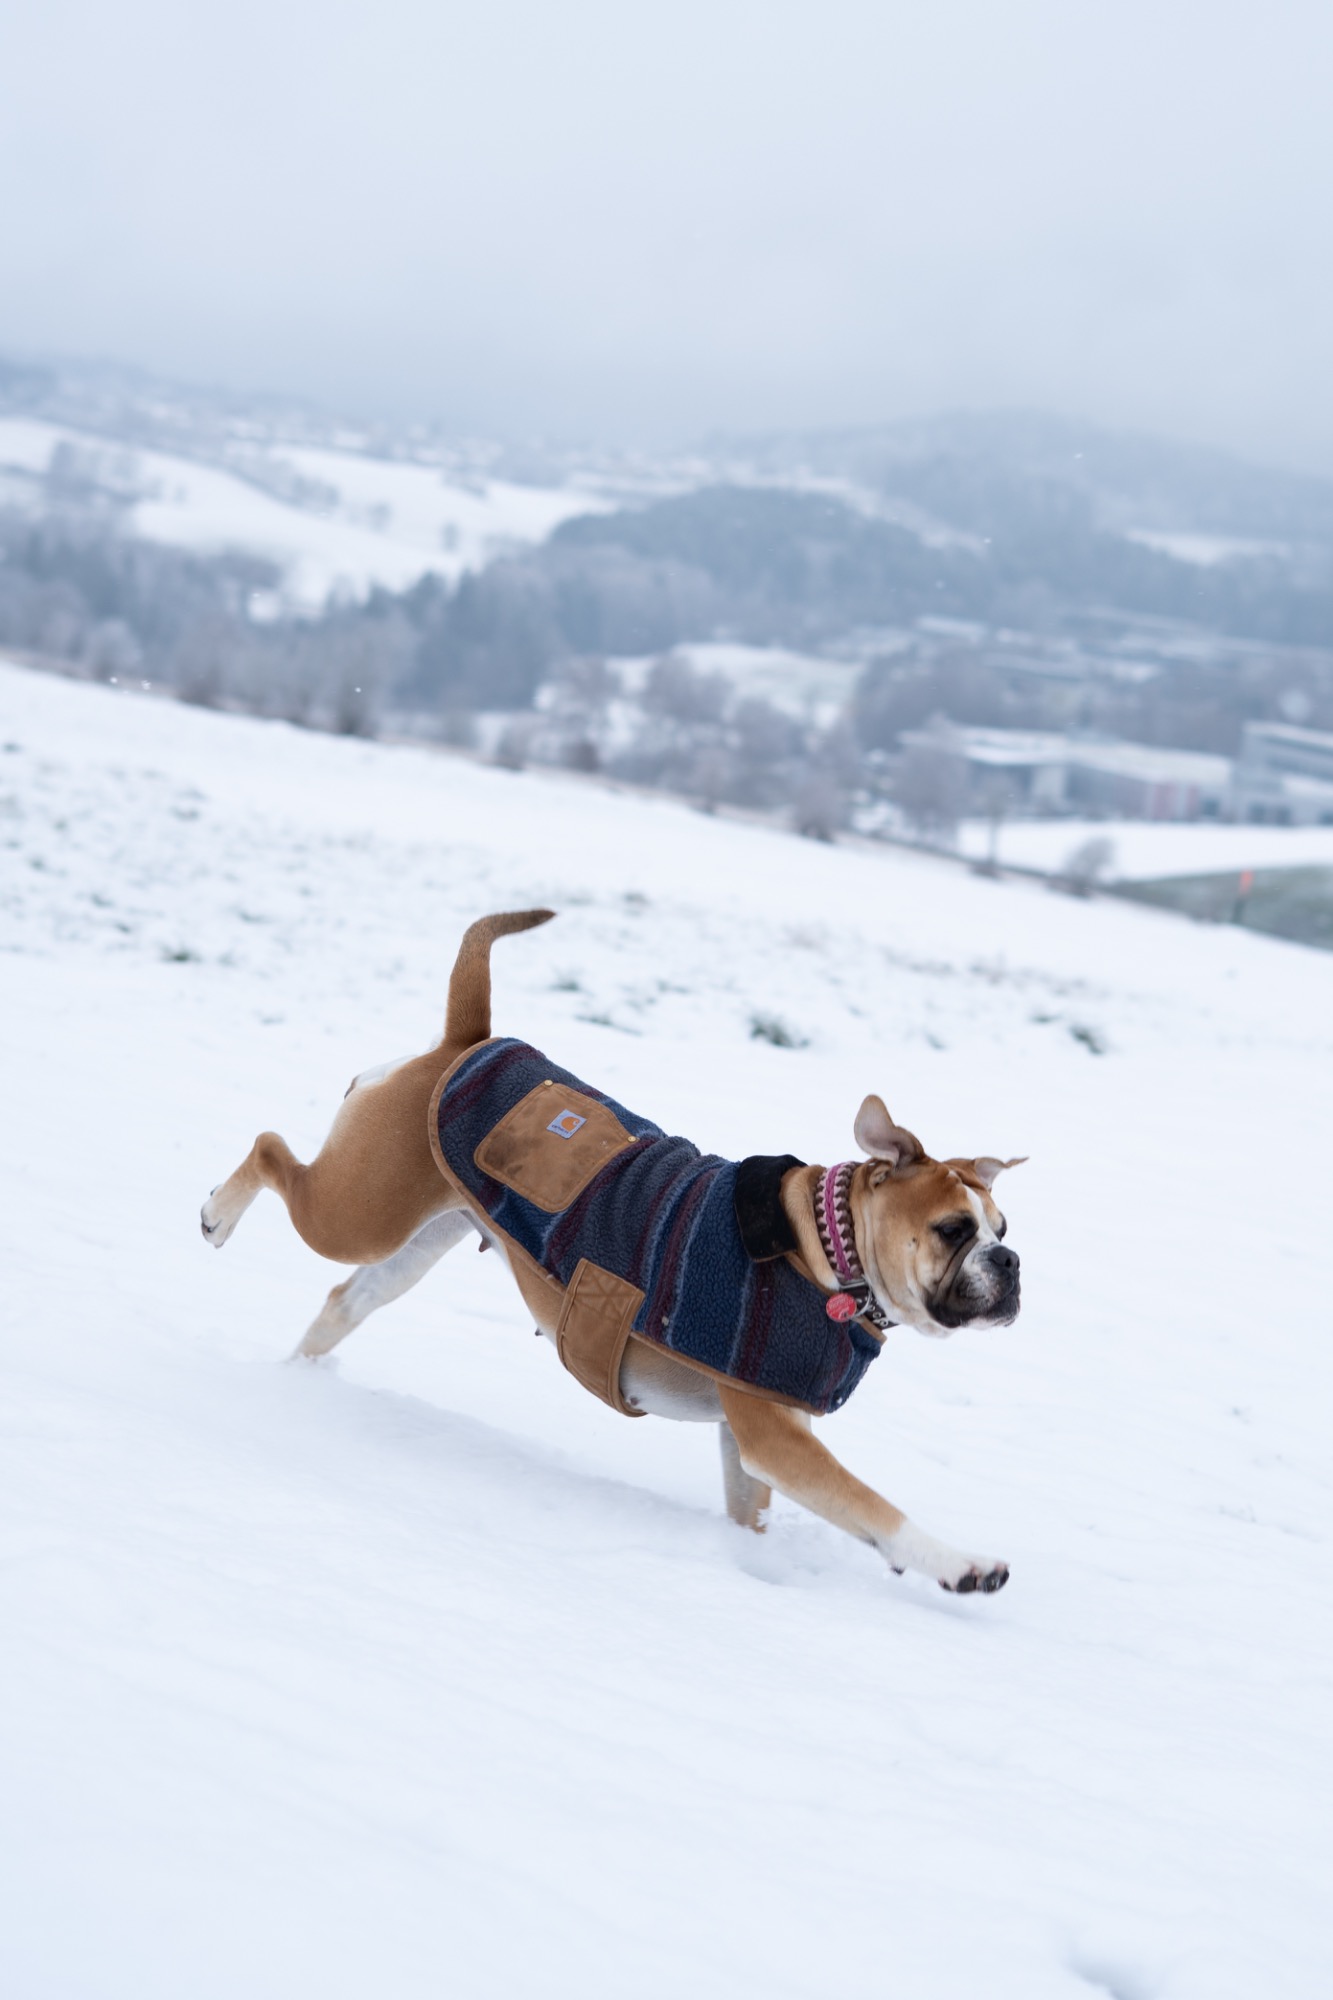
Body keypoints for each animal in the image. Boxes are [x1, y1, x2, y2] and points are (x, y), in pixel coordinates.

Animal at [201, 911, 1024, 1595]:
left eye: (1003, 1229)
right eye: (954, 1229)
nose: (1009, 1266)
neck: (826, 1246)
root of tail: (466, 1041)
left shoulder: (753, 1441)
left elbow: (763, 1510)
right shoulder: (775, 1436)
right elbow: (873, 1506)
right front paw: (962, 1564)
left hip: (412, 1241)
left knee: (346, 1300)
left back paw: (298, 1379)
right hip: (355, 1210)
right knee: (270, 1149)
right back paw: (216, 1215)